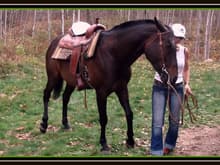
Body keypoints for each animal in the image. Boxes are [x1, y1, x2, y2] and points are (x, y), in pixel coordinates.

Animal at [40, 17, 177, 151]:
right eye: (168, 45)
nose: (174, 78)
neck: (113, 54)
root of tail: (55, 41)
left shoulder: (122, 89)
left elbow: (129, 113)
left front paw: (130, 141)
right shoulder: (101, 92)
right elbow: (103, 118)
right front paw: (104, 143)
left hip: (71, 81)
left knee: (65, 98)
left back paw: (65, 123)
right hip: (53, 77)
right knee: (46, 95)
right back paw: (44, 125)